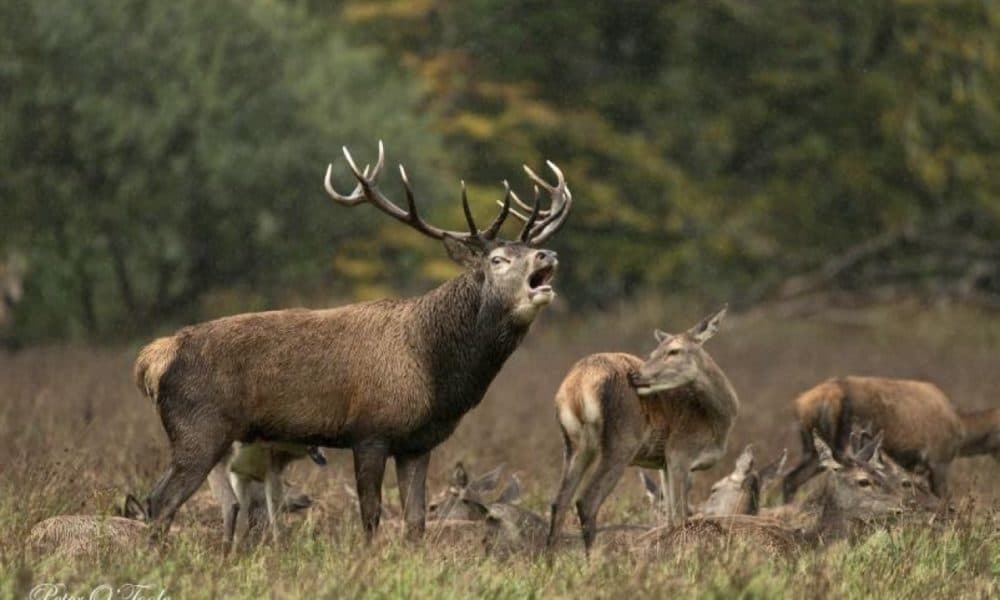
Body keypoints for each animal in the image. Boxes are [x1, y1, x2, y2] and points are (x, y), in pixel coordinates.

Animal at [130, 142, 572, 544]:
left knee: (187, 501)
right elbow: (371, 516)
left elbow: (416, 522)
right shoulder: (371, 430)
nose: (548, 254)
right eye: (498, 259)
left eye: (531, 249)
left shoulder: (417, 444)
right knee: (162, 500)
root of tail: (154, 357)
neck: (436, 372)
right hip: (198, 427)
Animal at [548, 308, 736, 556]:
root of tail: (577, 385)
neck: (715, 422)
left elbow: (669, 519)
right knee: (587, 501)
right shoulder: (679, 453)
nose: (636, 376)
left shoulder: (663, 463)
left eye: (674, 350)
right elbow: (681, 516)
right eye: (654, 352)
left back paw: (548, 560)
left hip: (575, 443)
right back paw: (593, 560)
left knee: (559, 502)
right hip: (622, 440)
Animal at [784, 378, 996, 500]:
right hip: (844, 446)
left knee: (790, 479)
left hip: (813, 450)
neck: (961, 430)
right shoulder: (939, 460)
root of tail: (800, 403)